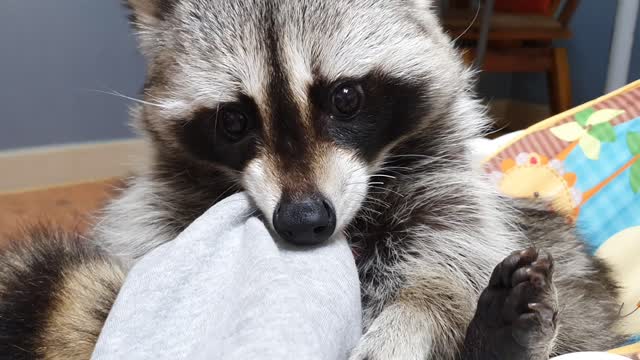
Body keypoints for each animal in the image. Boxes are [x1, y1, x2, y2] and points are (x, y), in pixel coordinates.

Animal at [0, 0, 624, 360]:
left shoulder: (447, 193)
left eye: (345, 97)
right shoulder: (154, 215)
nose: (304, 222)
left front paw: (418, 316)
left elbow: (449, 267)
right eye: (234, 121)